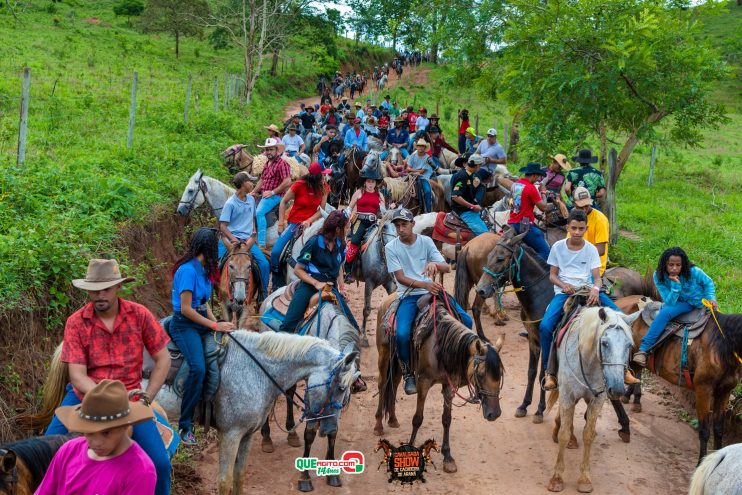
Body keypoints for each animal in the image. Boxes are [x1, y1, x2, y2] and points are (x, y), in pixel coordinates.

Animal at [258, 298, 364, 492]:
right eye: (332, 386)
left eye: (344, 390)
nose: (326, 428)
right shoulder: (312, 399)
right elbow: (310, 432)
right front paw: (305, 477)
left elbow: (334, 432)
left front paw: (332, 473)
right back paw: (267, 438)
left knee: (290, 390)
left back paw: (291, 433)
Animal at [374, 292, 508, 474]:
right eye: (480, 374)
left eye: (499, 374)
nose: (495, 414)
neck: (442, 345)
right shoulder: (423, 382)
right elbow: (418, 418)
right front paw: (411, 450)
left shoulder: (449, 385)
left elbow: (446, 419)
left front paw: (448, 457)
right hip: (384, 353)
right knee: (382, 385)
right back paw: (378, 426)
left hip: (396, 359)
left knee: (393, 384)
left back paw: (393, 419)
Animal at [544, 308, 644, 494]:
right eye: (604, 343)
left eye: (628, 345)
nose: (617, 389)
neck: (589, 362)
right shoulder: (567, 394)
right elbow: (563, 434)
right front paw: (557, 478)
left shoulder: (597, 400)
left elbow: (588, 434)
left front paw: (584, 479)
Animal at [616, 296, 742, 464]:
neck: (723, 345)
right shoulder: (703, 390)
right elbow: (704, 430)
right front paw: (701, 462)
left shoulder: (725, 391)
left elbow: (719, 429)